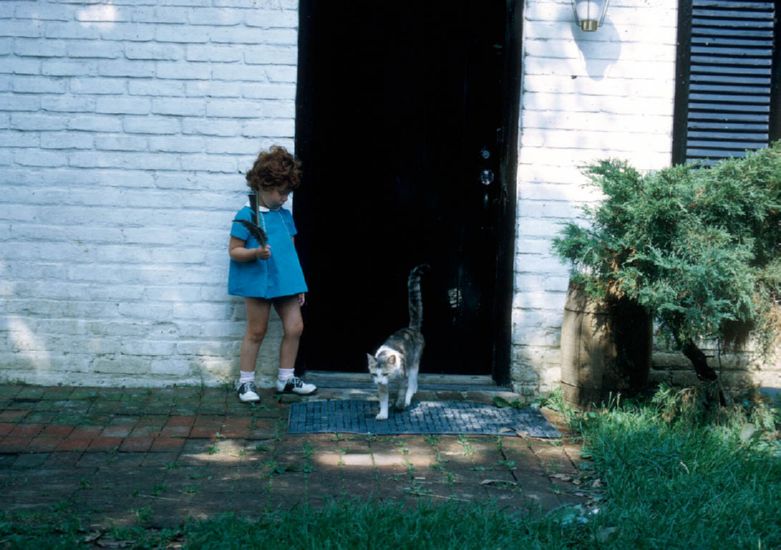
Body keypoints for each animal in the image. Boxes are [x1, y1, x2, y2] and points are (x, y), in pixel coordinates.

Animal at [364, 266, 426, 420]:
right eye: (375, 375)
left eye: (385, 373)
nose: (380, 381)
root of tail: (411, 329)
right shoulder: (381, 386)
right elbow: (383, 399)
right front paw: (383, 413)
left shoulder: (403, 378)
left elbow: (402, 392)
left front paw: (400, 405)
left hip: (413, 364)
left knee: (412, 384)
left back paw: (408, 398)